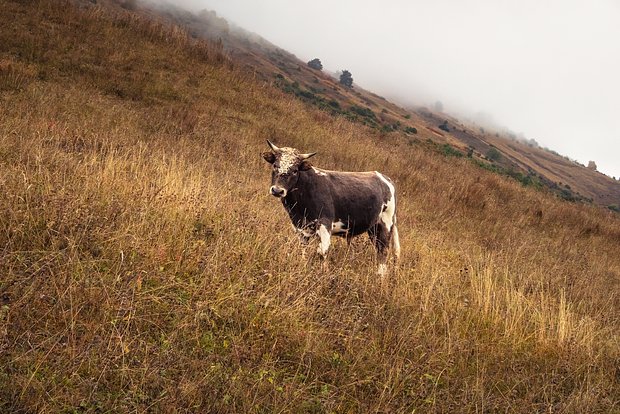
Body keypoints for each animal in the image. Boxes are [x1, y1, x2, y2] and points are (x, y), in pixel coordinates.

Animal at [262, 140, 402, 274]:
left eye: (295, 170)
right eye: (275, 165)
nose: (277, 190)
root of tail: (385, 178)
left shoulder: (325, 223)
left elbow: (322, 252)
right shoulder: (301, 228)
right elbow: (302, 250)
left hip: (385, 225)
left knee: (382, 252)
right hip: (373, 228)